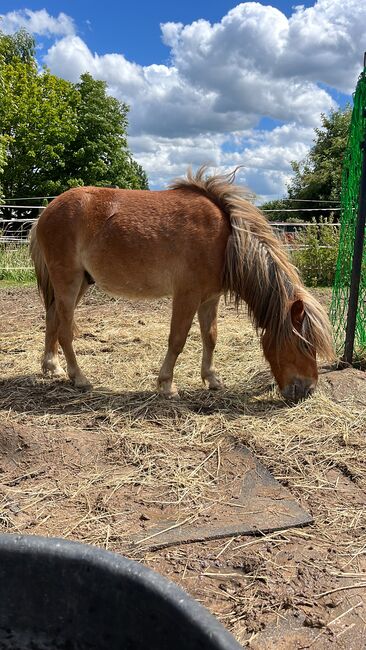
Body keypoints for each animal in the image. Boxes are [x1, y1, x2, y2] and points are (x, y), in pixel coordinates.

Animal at [30, 167, 334, 400]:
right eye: (305, 345)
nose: (308, 390)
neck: (226, 238)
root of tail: (46, 211)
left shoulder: (210, 298)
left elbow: (210, 337)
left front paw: (212, 379)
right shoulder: (187, 296)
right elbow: (177, 340)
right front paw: (166, 385)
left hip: (80, 283)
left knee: (52, 318)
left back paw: (52, 367)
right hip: (68, 282)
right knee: (65, 330)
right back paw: (79, 377)